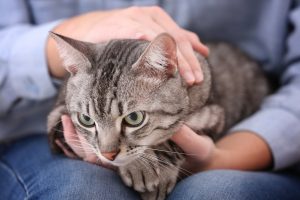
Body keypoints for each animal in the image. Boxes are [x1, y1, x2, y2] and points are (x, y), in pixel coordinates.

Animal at [47, 32, 270, 199]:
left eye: (134, 118)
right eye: (86, 119)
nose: (108, 154)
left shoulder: (214, 117)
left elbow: (170, 140)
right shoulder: (56, 120)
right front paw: (138, 166)